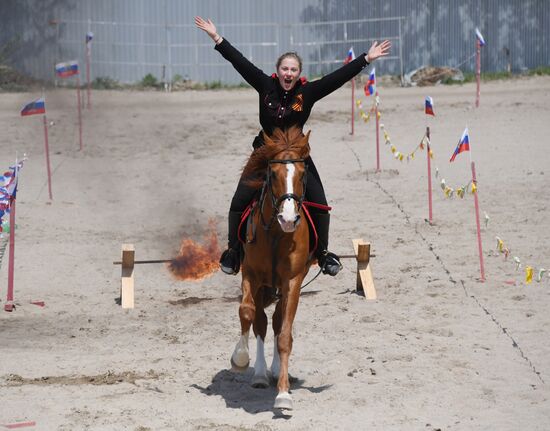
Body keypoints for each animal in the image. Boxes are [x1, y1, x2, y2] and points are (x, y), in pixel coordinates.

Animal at [231, 125, 312, 412]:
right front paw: (240, 359)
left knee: (277, 322)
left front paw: (284, 394)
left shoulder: (293, 281)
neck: (277, 234)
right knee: (261, 322)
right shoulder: (251, 275)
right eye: (273, 174)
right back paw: (259, 374)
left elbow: (285, 334)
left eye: (303, 173)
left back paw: (275, 371)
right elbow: (247, 313)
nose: (288, 219)